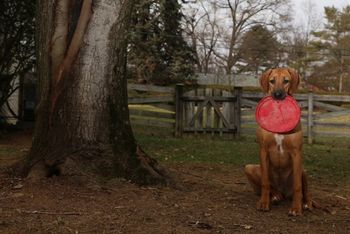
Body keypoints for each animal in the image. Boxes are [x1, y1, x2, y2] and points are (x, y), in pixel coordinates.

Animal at [245, 67, 314, 216]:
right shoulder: (263, 150)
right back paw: (275, 196)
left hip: (303, 170)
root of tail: (284, 193)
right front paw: (264, 203)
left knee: (305, 191)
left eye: (286, 81)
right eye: (272, 81)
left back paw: (307, 203)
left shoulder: (296, 153)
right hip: (249, 167)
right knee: (271, 187)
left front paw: (296, 208)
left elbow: (298, 186)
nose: (277, 95)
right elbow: (265, 183)